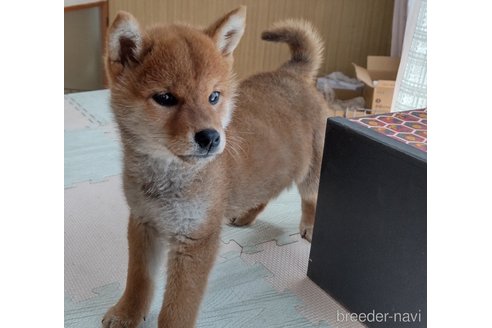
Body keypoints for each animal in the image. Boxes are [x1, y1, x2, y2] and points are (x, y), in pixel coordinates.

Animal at [102, 5, 328, 328]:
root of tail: (291, 72)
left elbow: (178, 308)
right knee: (265, 191)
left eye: (213, 97)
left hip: (312, 168)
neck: (166, 177)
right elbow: (138, 279)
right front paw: (126, 313)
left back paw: (308, 224)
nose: (210, 137)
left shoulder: (196, 240)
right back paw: (245, 215)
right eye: (165, 98)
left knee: (310, 196)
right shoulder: (143, 222)